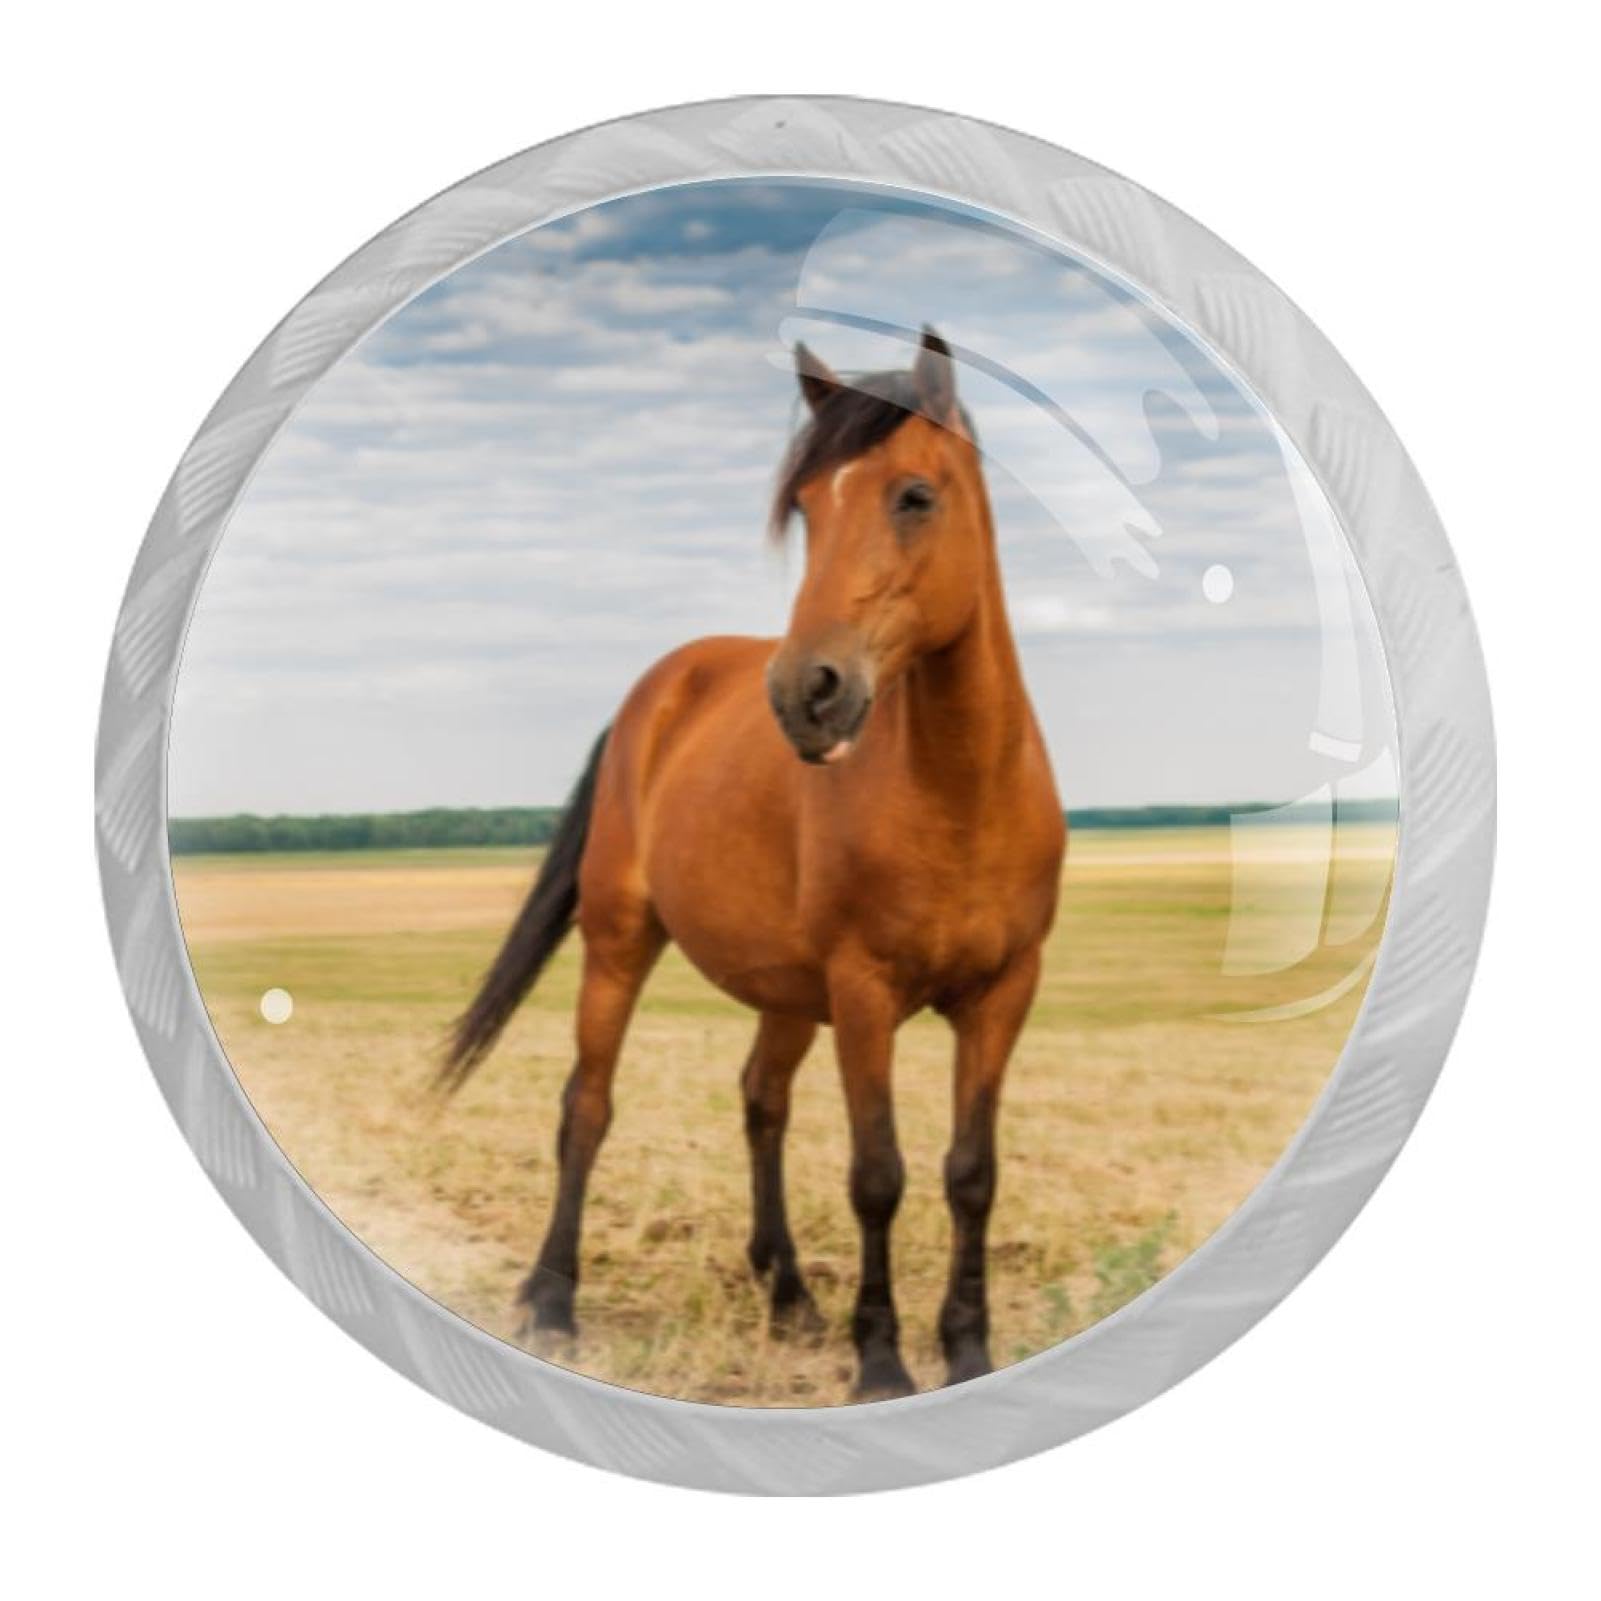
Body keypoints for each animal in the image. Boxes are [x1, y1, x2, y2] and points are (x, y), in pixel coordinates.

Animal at [441, 328, 1066, 1398]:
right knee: (586, 1106)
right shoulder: (863, 993)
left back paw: (788, 1296)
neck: (962, 788)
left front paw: (968, 1350)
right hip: (619, 944)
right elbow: (877, 1175)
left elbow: (969, 1173)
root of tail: (660, 687)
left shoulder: (1002, 994)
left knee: (760, 1101)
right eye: (805, 506)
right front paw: (881, 1364)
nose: (804, 693)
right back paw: (552, 1301)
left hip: (787, 990)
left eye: (914, 495)